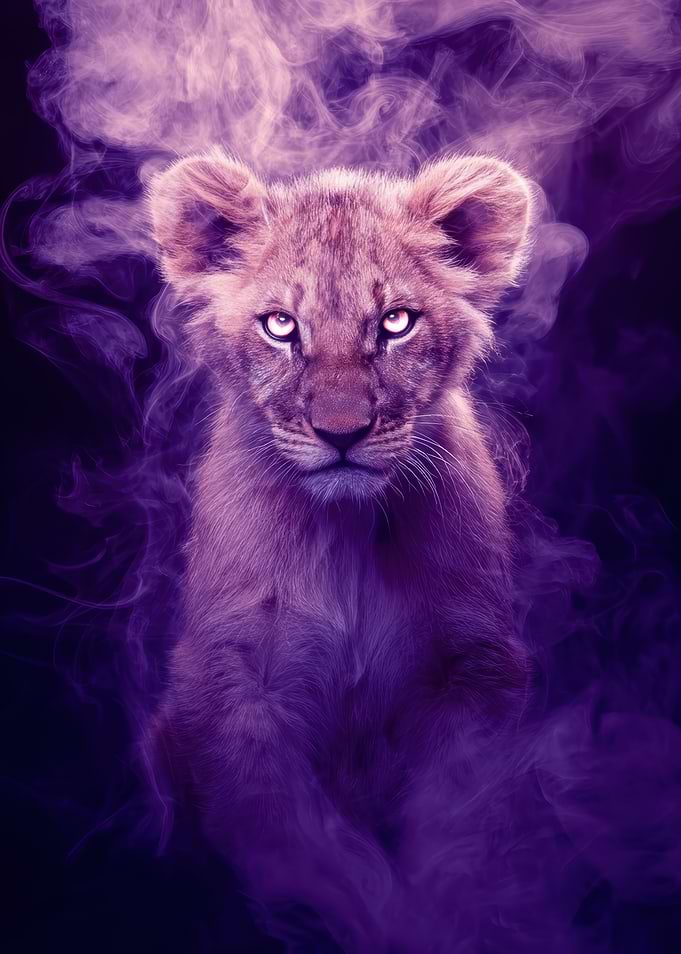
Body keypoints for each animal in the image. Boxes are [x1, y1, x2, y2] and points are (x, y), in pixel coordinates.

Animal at [147, 148, 533, 951]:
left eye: (394, 322)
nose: (341, 432)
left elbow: (460, 826)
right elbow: (293, 842)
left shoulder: (474, 665)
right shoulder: (233, 680)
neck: (347, 536)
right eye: (280, 326)